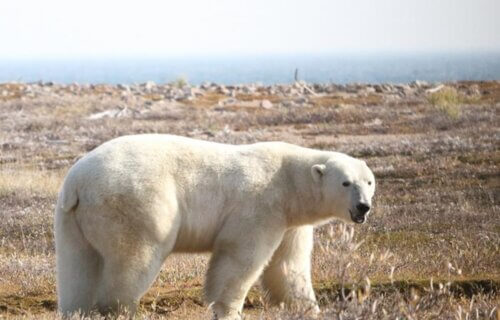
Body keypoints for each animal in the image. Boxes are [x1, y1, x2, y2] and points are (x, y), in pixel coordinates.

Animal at [55, 134, 376, 318]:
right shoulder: (261, 206)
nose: (363, 206)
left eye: (369, 182)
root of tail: (78, 183)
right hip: (135, 203)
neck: (289, 181)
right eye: (346, 182)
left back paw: (76, 310)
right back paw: (121, 309)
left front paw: (308, 308)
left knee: (77, 266)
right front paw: (228, 310)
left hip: (72, 219)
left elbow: (288, 266)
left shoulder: (291, 221)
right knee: (135, 257)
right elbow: (240, 259)